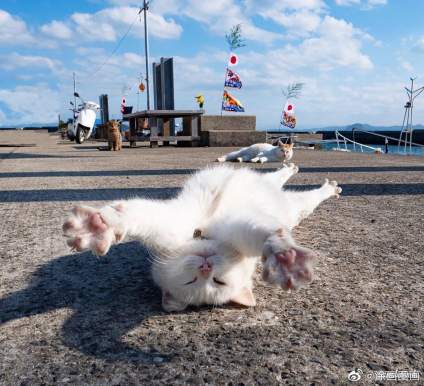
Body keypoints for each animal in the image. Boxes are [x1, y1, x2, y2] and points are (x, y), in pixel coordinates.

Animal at [63, 163, 342, 310]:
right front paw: (97, 229)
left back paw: (311, 178)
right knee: (283, 184)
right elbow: (137, 216)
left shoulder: (239, 227)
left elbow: (265, 235)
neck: (203, 235)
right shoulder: (172, 224)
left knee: (287, 183)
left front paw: (284, 256)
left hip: (288, 202)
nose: (206, 266)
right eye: (192, 281)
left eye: (218, 281)